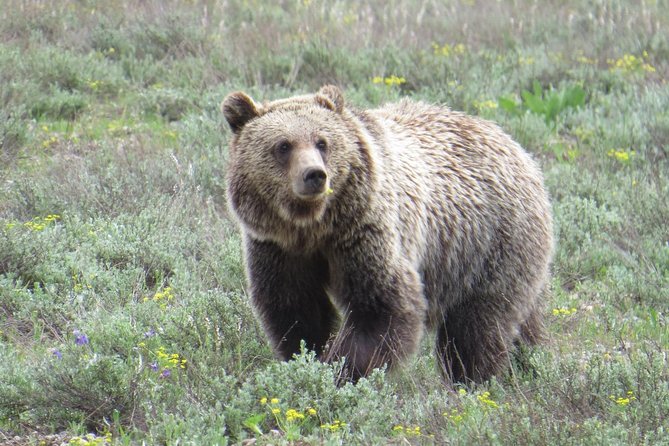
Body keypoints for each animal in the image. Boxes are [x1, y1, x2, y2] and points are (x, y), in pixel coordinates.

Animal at [222, 86, 552, 384]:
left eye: (322, 142)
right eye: (283, 145)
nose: (314, 175)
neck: (315, 226)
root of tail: (517, 147)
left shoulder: (365, 232)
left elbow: (380, 307)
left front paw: (343, 372)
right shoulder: (278, 248)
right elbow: (296, 309)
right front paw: (308, 359)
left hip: (487, 244)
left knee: (477, 324)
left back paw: (470, 380)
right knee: (523, 319)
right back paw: (531, 361)